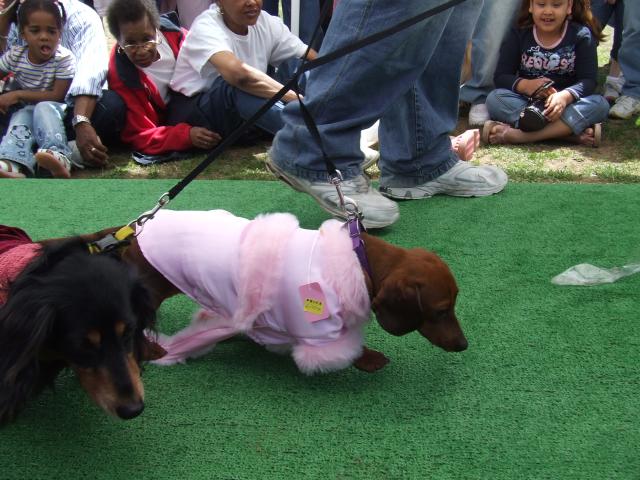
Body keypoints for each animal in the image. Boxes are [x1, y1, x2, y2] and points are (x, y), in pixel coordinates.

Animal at [84, 209, 468, 375]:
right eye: (440, 310)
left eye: (454, 304)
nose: (464, 345)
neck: (360, 262)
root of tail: (134, 230)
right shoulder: (315, 331)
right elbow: (344, 351)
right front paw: (368, 358)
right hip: (151, 289)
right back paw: (152, 349)